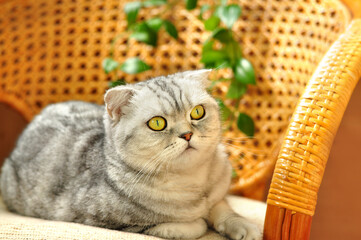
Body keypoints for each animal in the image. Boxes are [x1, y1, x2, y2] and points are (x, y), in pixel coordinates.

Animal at [0, 70, 258, 240]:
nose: (186, 135)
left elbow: (224, 210)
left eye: (197, 112)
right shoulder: (104, 219)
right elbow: (188, 226)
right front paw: (198, 222)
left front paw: (244, 226)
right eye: (157, 123)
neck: (192, 182)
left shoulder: (218, 194)